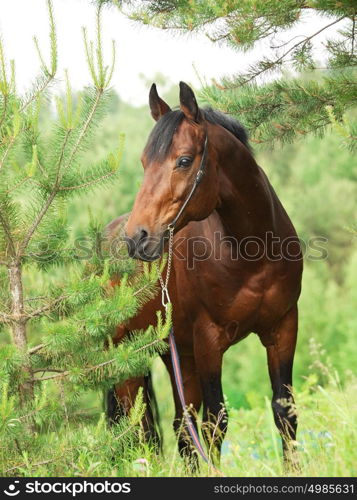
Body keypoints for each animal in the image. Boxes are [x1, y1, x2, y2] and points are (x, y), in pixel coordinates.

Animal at [107, 82, 302, 468]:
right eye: (144, 162)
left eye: (183, 161)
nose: (137, 238)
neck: (254, 257)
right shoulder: (209, 341)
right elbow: (217, 423)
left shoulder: (284, 327)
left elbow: (284, 411)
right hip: (128, 361)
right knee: (137, 433)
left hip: (176, 354)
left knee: (181, 427)